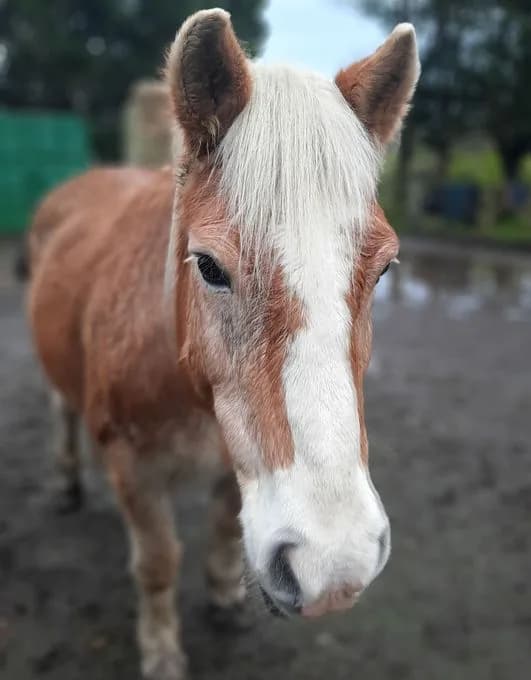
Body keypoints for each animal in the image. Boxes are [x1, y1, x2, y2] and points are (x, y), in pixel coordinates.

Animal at [26, 9, 420, 679]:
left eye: (385, 269)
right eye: (208, 266)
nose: (334, 565)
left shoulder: (237, 459)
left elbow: (222, 532)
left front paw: (224, 600)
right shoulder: (133, 471)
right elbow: (158, 563)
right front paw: (162, 652)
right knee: (62, 410)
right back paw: (67, 483)